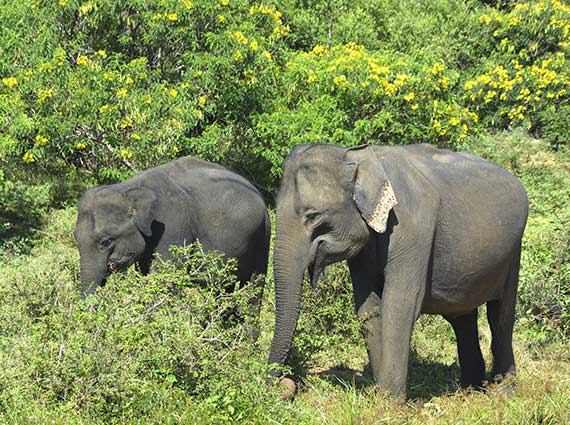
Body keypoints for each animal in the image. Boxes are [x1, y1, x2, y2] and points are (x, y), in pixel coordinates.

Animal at [74, 156, 270, 334]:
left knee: (254, 291)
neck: (128, 188)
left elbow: (162, 279)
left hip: (262, 237)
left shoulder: (173, 227)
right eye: (76, 240)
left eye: (105, 242)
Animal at [268, 142, 524, 398]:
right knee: (462, 316)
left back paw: (503, 388)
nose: (284, 384)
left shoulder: (412, 227)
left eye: (312, 216)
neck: (356, 156)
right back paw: (471, 388)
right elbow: (369, 306)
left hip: (513, 253)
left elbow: (401, 302)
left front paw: (389, 400)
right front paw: (378, 394)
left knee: (500, 316)